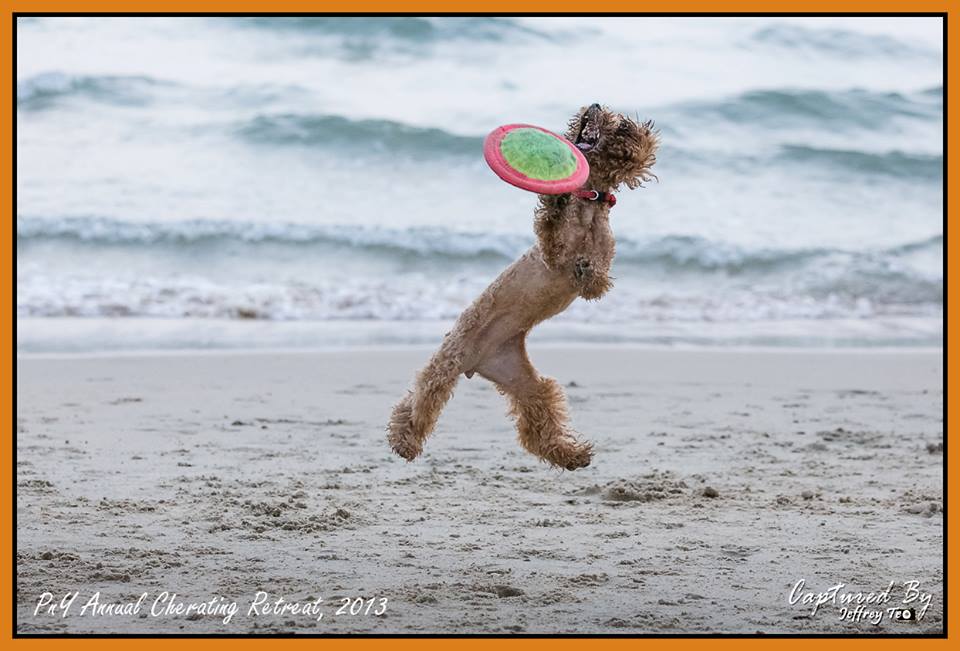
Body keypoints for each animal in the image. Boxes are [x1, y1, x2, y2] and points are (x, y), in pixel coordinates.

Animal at [386, 103, 656, 468]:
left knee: (537, 422)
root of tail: (478, 363)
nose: (594, 105)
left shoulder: (602, 263)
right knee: (422, 398)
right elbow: (553, 230)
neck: (588, 203)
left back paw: (572, 455)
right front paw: (557, 203)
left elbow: (597, 279)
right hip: (450, 359)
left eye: (620, 125)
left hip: (525, 381)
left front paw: (586, 267)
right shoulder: (550, 255)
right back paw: (405, 441)